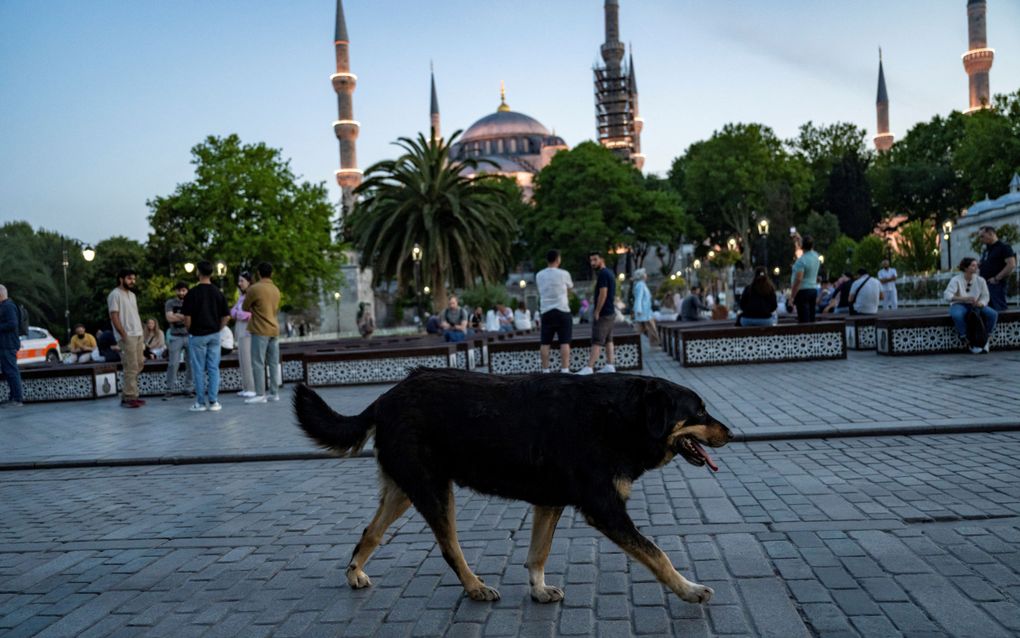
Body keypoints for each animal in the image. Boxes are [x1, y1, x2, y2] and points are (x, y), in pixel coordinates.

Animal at [291, 365, 730, 604]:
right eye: (699, 411)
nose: (730, 432)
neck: (621, 416)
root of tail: (385, 398)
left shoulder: (550, 501)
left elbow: (538, 553)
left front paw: (538, 590)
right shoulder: (605, 509)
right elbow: (659, 555)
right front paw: (689, 590)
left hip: (403, 491)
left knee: (370, 532)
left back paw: (354, 573)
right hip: (434, 490)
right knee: (449, 548)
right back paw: (474, 587)